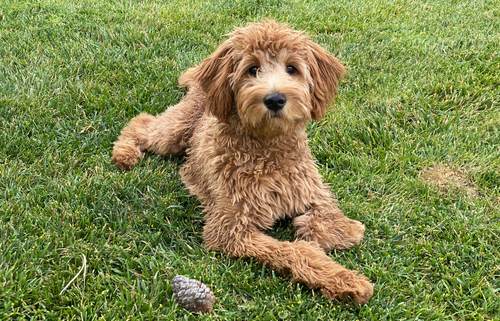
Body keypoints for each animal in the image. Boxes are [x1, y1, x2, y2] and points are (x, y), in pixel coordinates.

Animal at [112, 20, 372, 304]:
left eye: (291, 68)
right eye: (252, 69)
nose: (275, 99)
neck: (268, 150)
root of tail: (202, 84)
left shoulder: (311, 190)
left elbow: (325, 220)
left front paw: (344, 232)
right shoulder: (230, 229)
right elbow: (295, 250)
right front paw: (346, 280)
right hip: (175, 131)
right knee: (142, 123)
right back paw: (124, 154)